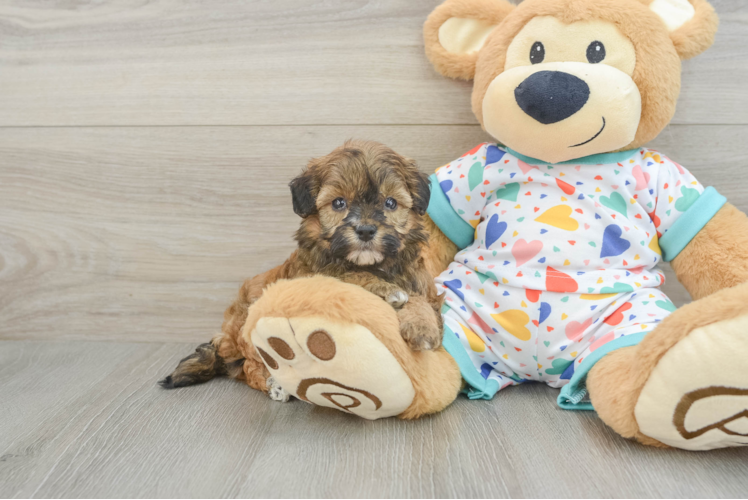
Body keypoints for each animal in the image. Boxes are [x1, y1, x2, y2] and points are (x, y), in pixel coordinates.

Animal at [161, 140, 444, 394]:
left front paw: (423, 327)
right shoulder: (313, 275)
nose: (365, 230)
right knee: (250, 366)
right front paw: (386, 290)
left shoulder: (420, 282)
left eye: (390, 203)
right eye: (338, 203)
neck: (374, 264)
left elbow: (421, 300)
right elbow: (349, 275)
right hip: (247, 329)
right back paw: (273, 384)